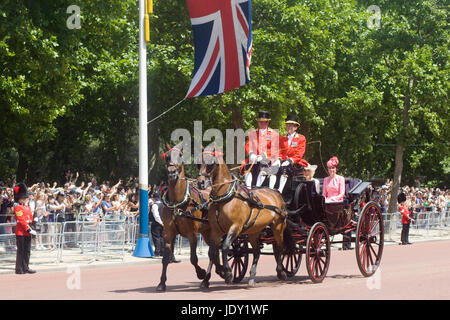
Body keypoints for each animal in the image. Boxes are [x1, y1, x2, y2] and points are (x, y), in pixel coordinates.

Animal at [156, 144, 223, 292]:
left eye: (180, 156)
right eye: (167, 156)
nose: (172, 172)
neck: (177, 202)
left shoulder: (192, 234)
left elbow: (193, 258)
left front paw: (201, 273)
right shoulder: (167, 234)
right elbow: (165, 258)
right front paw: (162, 283)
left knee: (215, 251)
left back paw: (211, 275)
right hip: (207, 232)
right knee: (214, 252)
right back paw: (215, 273)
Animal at [197, 148, 288, 288]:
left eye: (211, 164)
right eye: (198, 164)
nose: (200, 183)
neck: (223, 199)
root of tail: (276, 193)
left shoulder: (235, 227)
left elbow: (224, 247)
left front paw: (228, 273)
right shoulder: (216, 231)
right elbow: (212, 252)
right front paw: (212, 276)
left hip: (278, 227)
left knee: (279, 248)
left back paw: (281, 272)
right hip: (253, 231)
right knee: (257, 252)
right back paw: (252, 277)